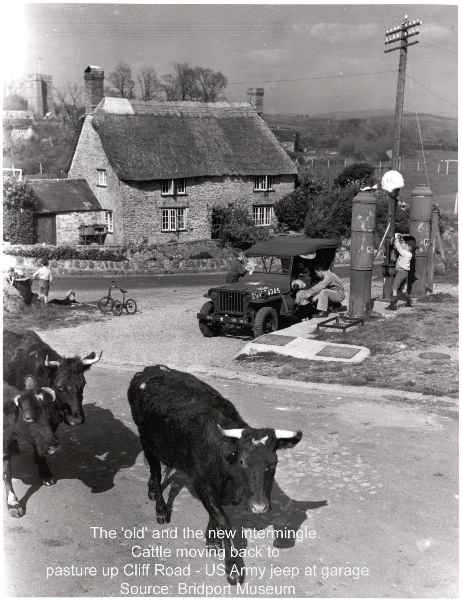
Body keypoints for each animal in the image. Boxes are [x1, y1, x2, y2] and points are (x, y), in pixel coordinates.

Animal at [127, 364, 304, 584]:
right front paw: (232, 567)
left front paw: (211, 538)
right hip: (146, 440)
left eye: (274, 462)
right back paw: (160, 509)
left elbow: (215, 515)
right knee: (156, 472)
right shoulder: (203, 485)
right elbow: (223, 520)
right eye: (242, 461)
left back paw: (151, 490)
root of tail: (148, 370)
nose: (259, 506)